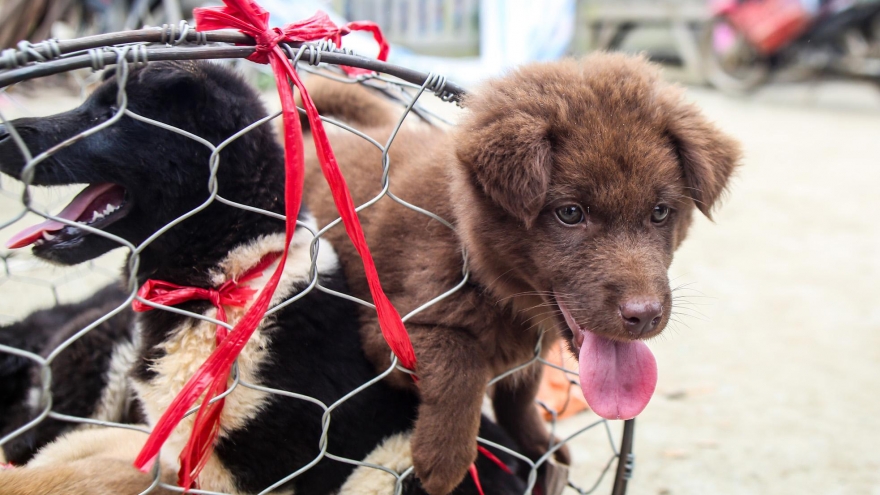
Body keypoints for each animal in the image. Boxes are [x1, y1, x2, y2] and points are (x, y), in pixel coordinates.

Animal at [302, 52, 744, 494]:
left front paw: (538, 443)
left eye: (660, 212)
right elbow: (461, 360)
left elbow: (519, 395)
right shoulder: (390, 330)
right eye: (570, 213)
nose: (644, 316)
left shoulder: (532, 348)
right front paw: (444, 457)